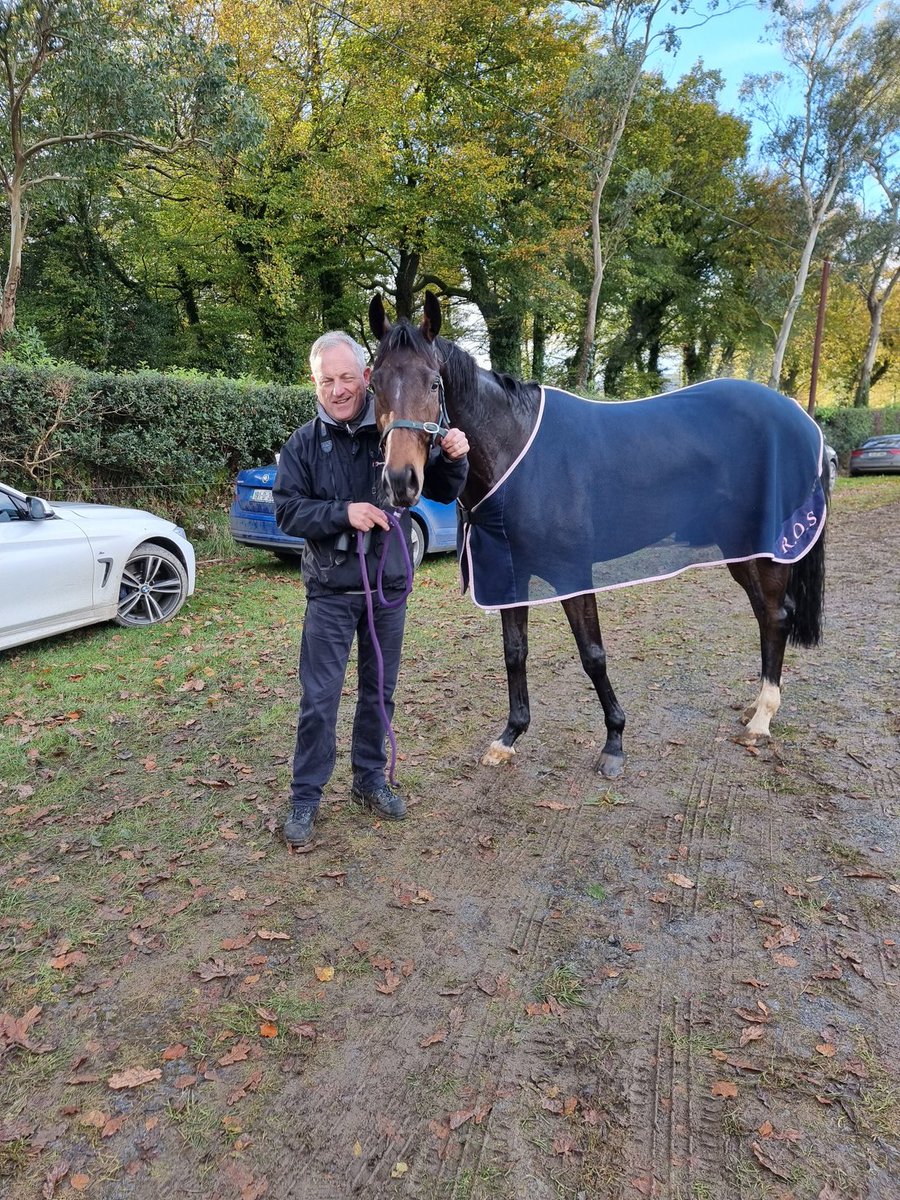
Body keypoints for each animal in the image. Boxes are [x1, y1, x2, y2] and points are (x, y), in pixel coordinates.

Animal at [368, 292, 828, 779]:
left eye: (434, 384)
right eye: (374, 384)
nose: (401, 481)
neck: (517, 451)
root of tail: (802, 420)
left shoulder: (573, 573)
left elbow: (592, 654)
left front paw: (614, 741)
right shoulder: (510, 574)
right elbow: (515, 651)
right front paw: (509, 736)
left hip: (764, 549)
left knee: (776, 615)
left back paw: (761, 721)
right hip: (740, 548)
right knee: (765, 614)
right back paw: (756, 707)